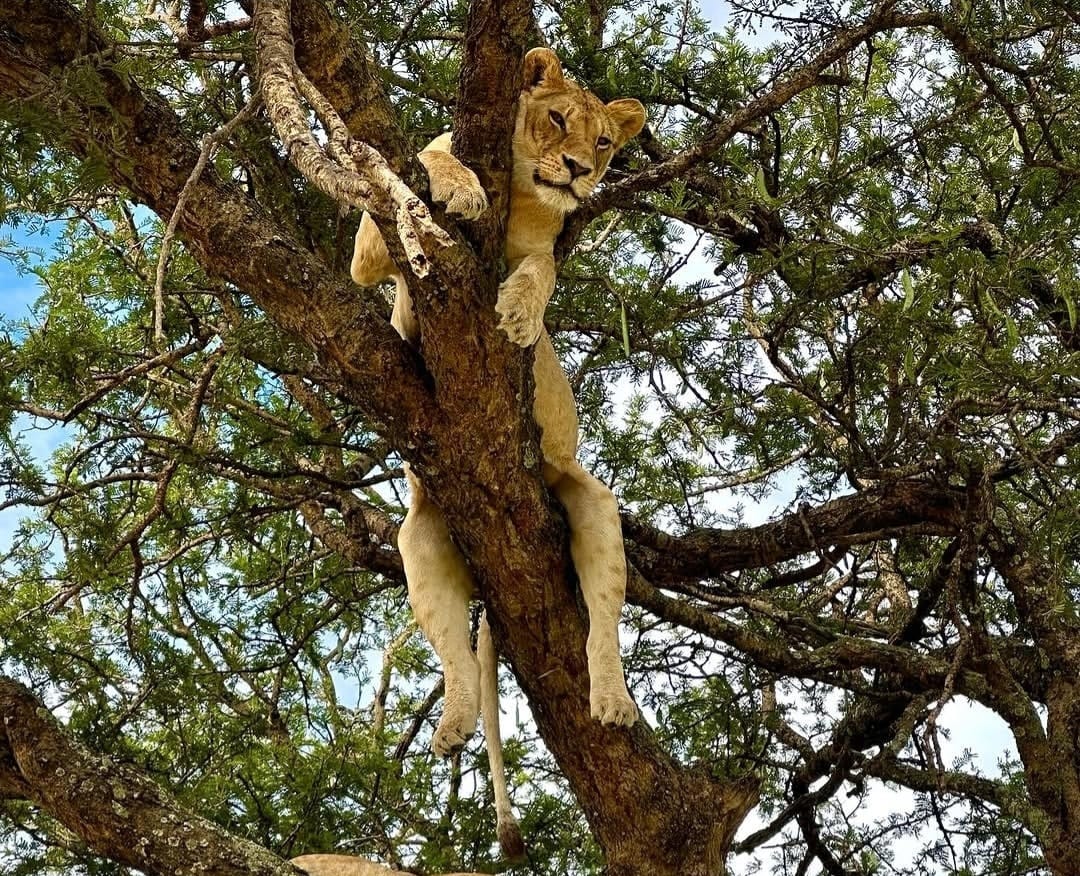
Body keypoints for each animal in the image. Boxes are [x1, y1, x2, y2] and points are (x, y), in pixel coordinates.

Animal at [350, 48, 645, 857]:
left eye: (604, 141)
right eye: (555, 118)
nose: (579, 171)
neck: (520, 184)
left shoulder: (546, 248)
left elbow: (542, 273)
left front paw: (517, 312)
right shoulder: (367, 251)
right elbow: (422, 162)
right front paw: (457, 187)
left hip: (589, 502)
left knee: (603, 623)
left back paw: (612, 700)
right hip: (420, 535)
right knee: (453, 653)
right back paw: (451, 724)